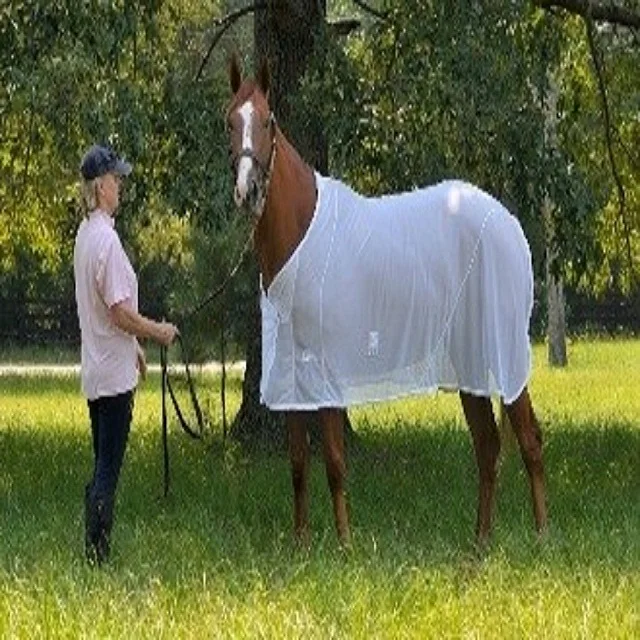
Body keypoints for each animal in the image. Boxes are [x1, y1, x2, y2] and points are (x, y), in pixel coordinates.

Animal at [225, 55, 547, 546]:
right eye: (229, 121)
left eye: (268, 120)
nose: (249, 192)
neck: (302, 232)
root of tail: (507, 222)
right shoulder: (290, 375)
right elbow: (298, 464)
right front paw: (301, 544)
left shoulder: (327, 371)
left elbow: (334, 461)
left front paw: (344, 545)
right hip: (468, 362)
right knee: (488, 446)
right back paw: (480, 544)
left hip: (502, 352)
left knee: (528, 440)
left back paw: (543, 536)